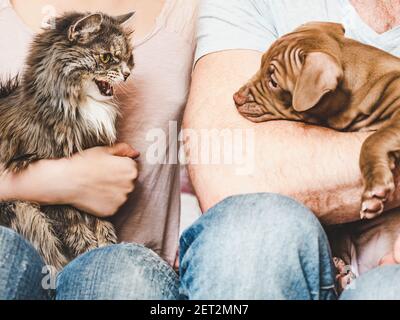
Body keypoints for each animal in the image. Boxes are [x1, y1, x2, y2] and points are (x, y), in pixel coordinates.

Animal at [0, 11, 135, 270]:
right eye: (106, 57)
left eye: (128, 58)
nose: (127, 74)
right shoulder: (57, 196)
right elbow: (77, 231)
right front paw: (89, 251)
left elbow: (102, 224)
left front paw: (106, 245)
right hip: (22, 208)